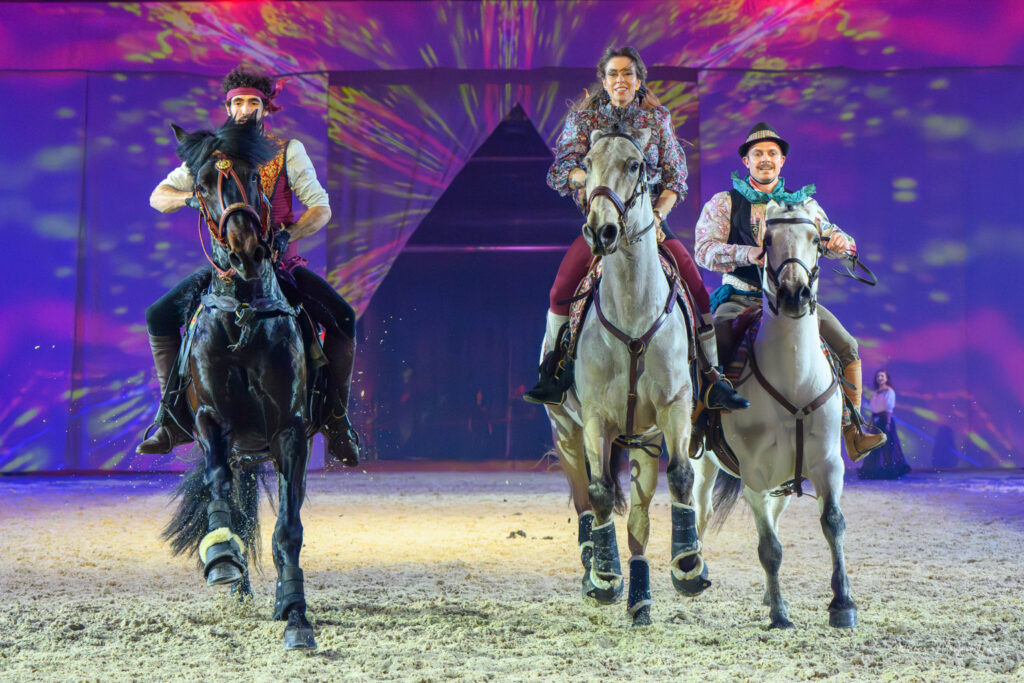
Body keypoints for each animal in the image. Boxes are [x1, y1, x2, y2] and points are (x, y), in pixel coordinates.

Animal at [159, 118, 320, 650]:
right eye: (203, 185)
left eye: (254, 176)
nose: (247, 250)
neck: (245, 312)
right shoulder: (213, 422)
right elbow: (218, 484)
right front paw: (221, 557)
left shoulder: (290, 431)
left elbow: (289, 528)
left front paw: (295, 614)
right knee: (238, 504)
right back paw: (235, 579)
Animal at [542, 125, 706, 627]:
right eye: (587, 162)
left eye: (636, 165)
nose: (601, 230)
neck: (633, 312)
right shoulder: (596, 418)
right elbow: (597, 493)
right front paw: (603, 577)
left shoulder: (673, 408)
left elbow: (681, 478)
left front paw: (689, 565)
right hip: (567, 432)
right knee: (582, 497)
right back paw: (592, 564)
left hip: (643, 444)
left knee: (638, 521)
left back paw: (640, 598)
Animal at [692, 199, 857, 630]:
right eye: (767, 240)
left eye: (817, 239)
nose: (794, 294)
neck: (793, 379)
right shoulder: (753, 474)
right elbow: (769, 548)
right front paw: (781, 615)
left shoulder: (828, 464)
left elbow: (833, 524)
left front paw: (842, 605)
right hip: (703, 464)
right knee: (700, 511)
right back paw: (693, 571)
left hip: (785, 479)